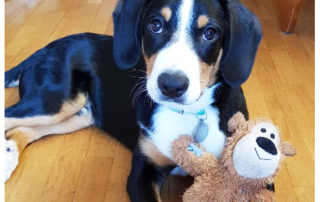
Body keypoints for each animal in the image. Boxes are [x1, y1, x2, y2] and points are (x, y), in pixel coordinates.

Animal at [4, 0, 262, 201]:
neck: (187, 114)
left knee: (20, 130)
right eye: (155, 25)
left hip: (77, 114)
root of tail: (42, 49)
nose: (171, 85)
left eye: (210, 33)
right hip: (54, 101)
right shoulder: (142, 172)